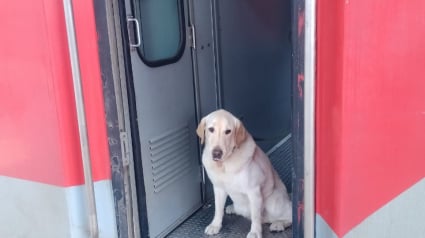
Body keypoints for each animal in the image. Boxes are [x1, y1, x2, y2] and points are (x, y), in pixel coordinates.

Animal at [196, 109, 292, 238]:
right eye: (211, 129)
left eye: (228, 131)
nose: (217, 153)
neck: (223, 165)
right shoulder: (219, 188)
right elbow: (218, 209)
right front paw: (215, 225)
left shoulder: (254, 191)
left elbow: (255, 217)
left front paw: (255, 232)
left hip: (273, 203)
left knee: (289, 214)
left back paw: (278, 224)